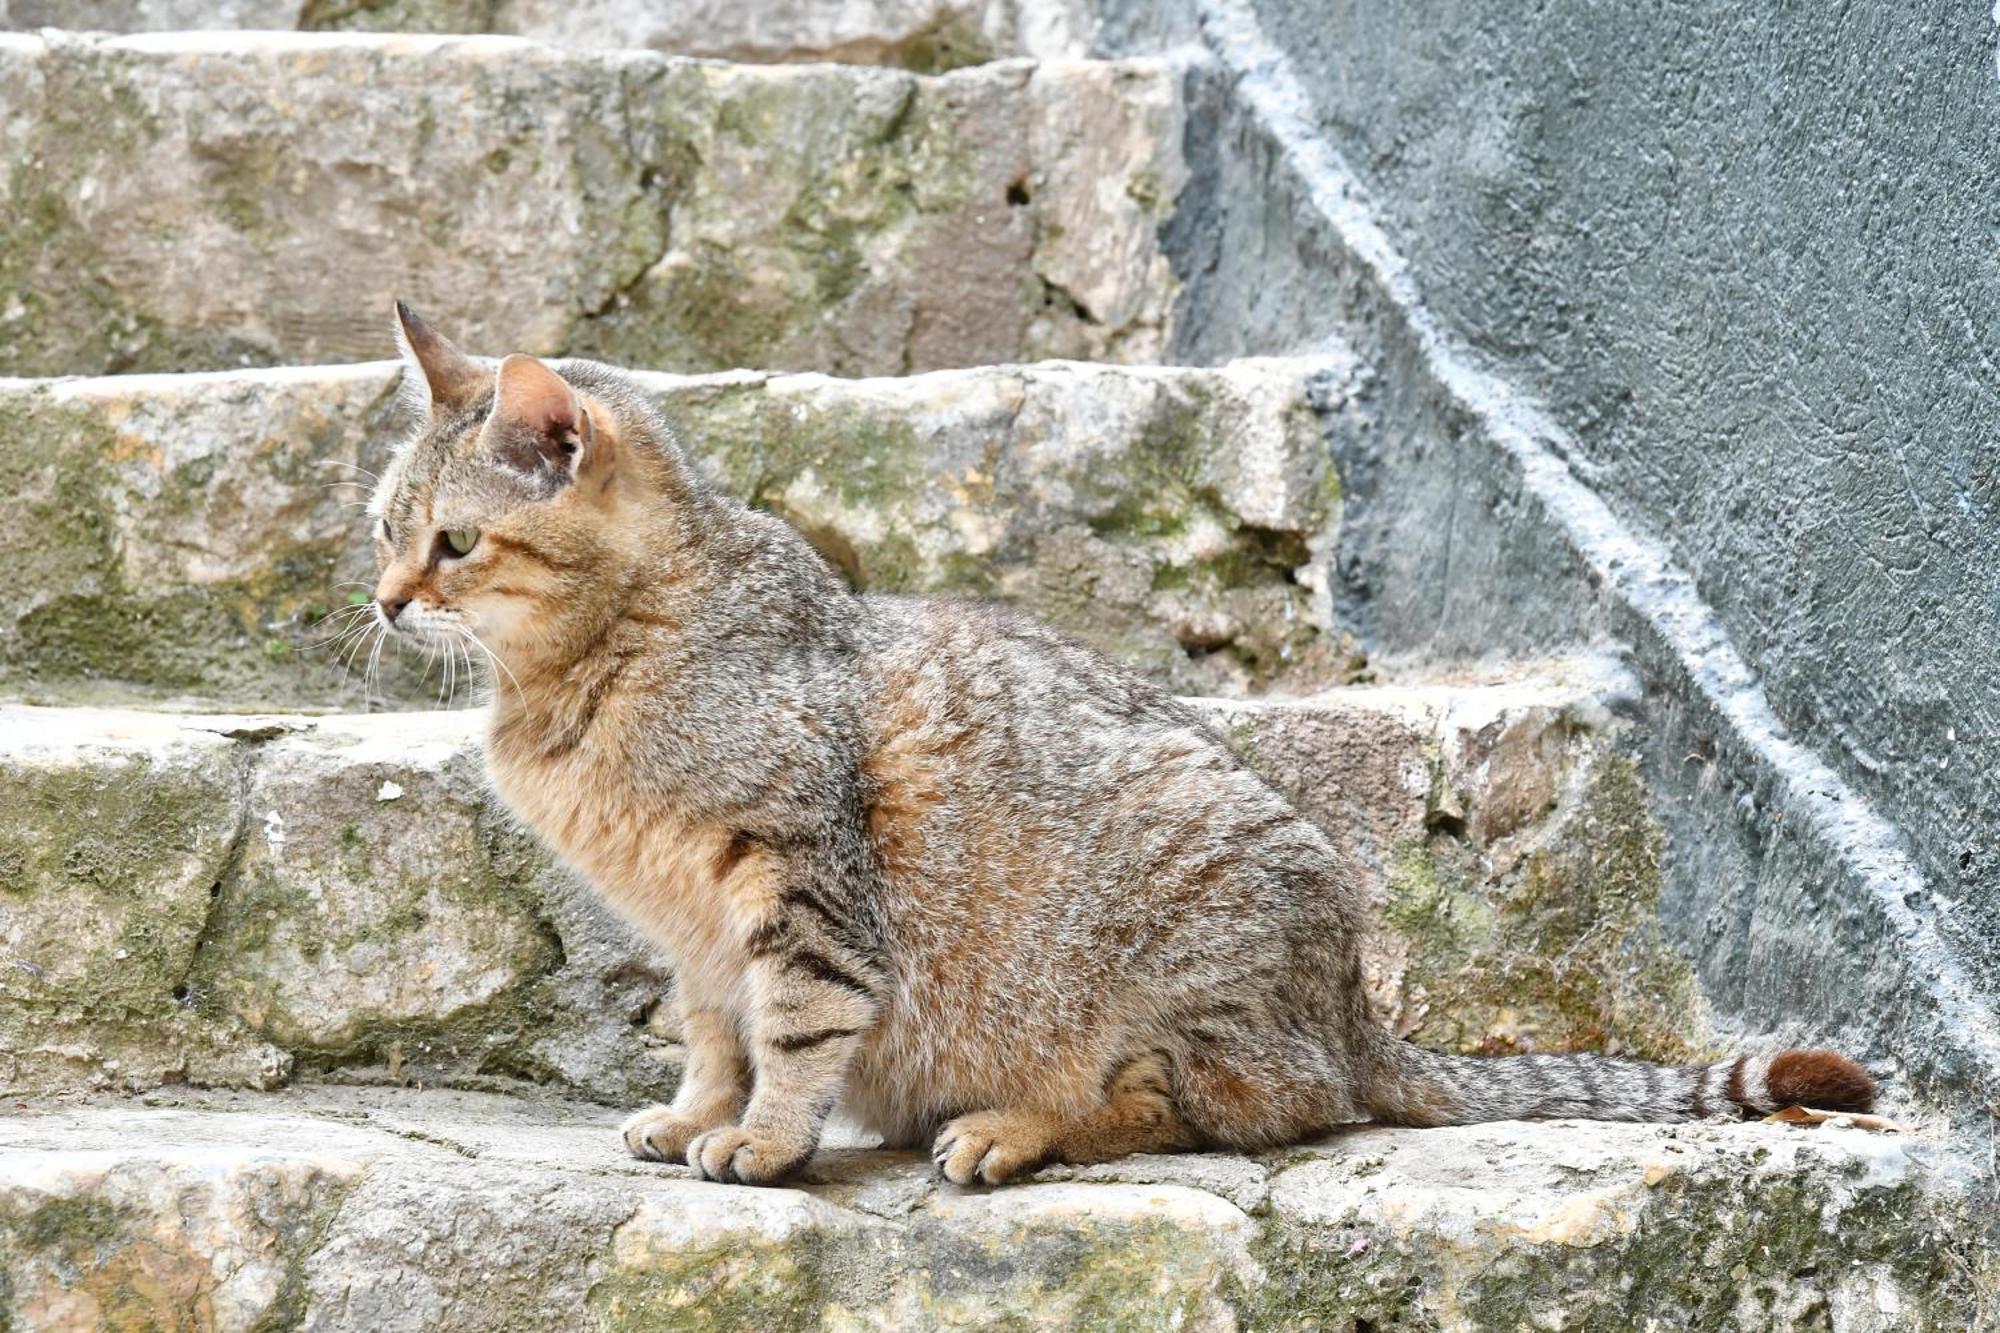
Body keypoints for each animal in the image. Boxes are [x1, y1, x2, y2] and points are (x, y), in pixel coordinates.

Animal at [372, 304, 1872, 1184]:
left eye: (453, 543)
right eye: (383, 527)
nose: (383, 601)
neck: (582, 673)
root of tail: (1356, 1016)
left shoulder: (792, 878)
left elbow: (794, 1025)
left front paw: (768, 1143)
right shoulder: (690, 926)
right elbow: (714, 1033)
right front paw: (698, 1111)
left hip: (1181, 953)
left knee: (1225, 1106)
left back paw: (1010, 1129)